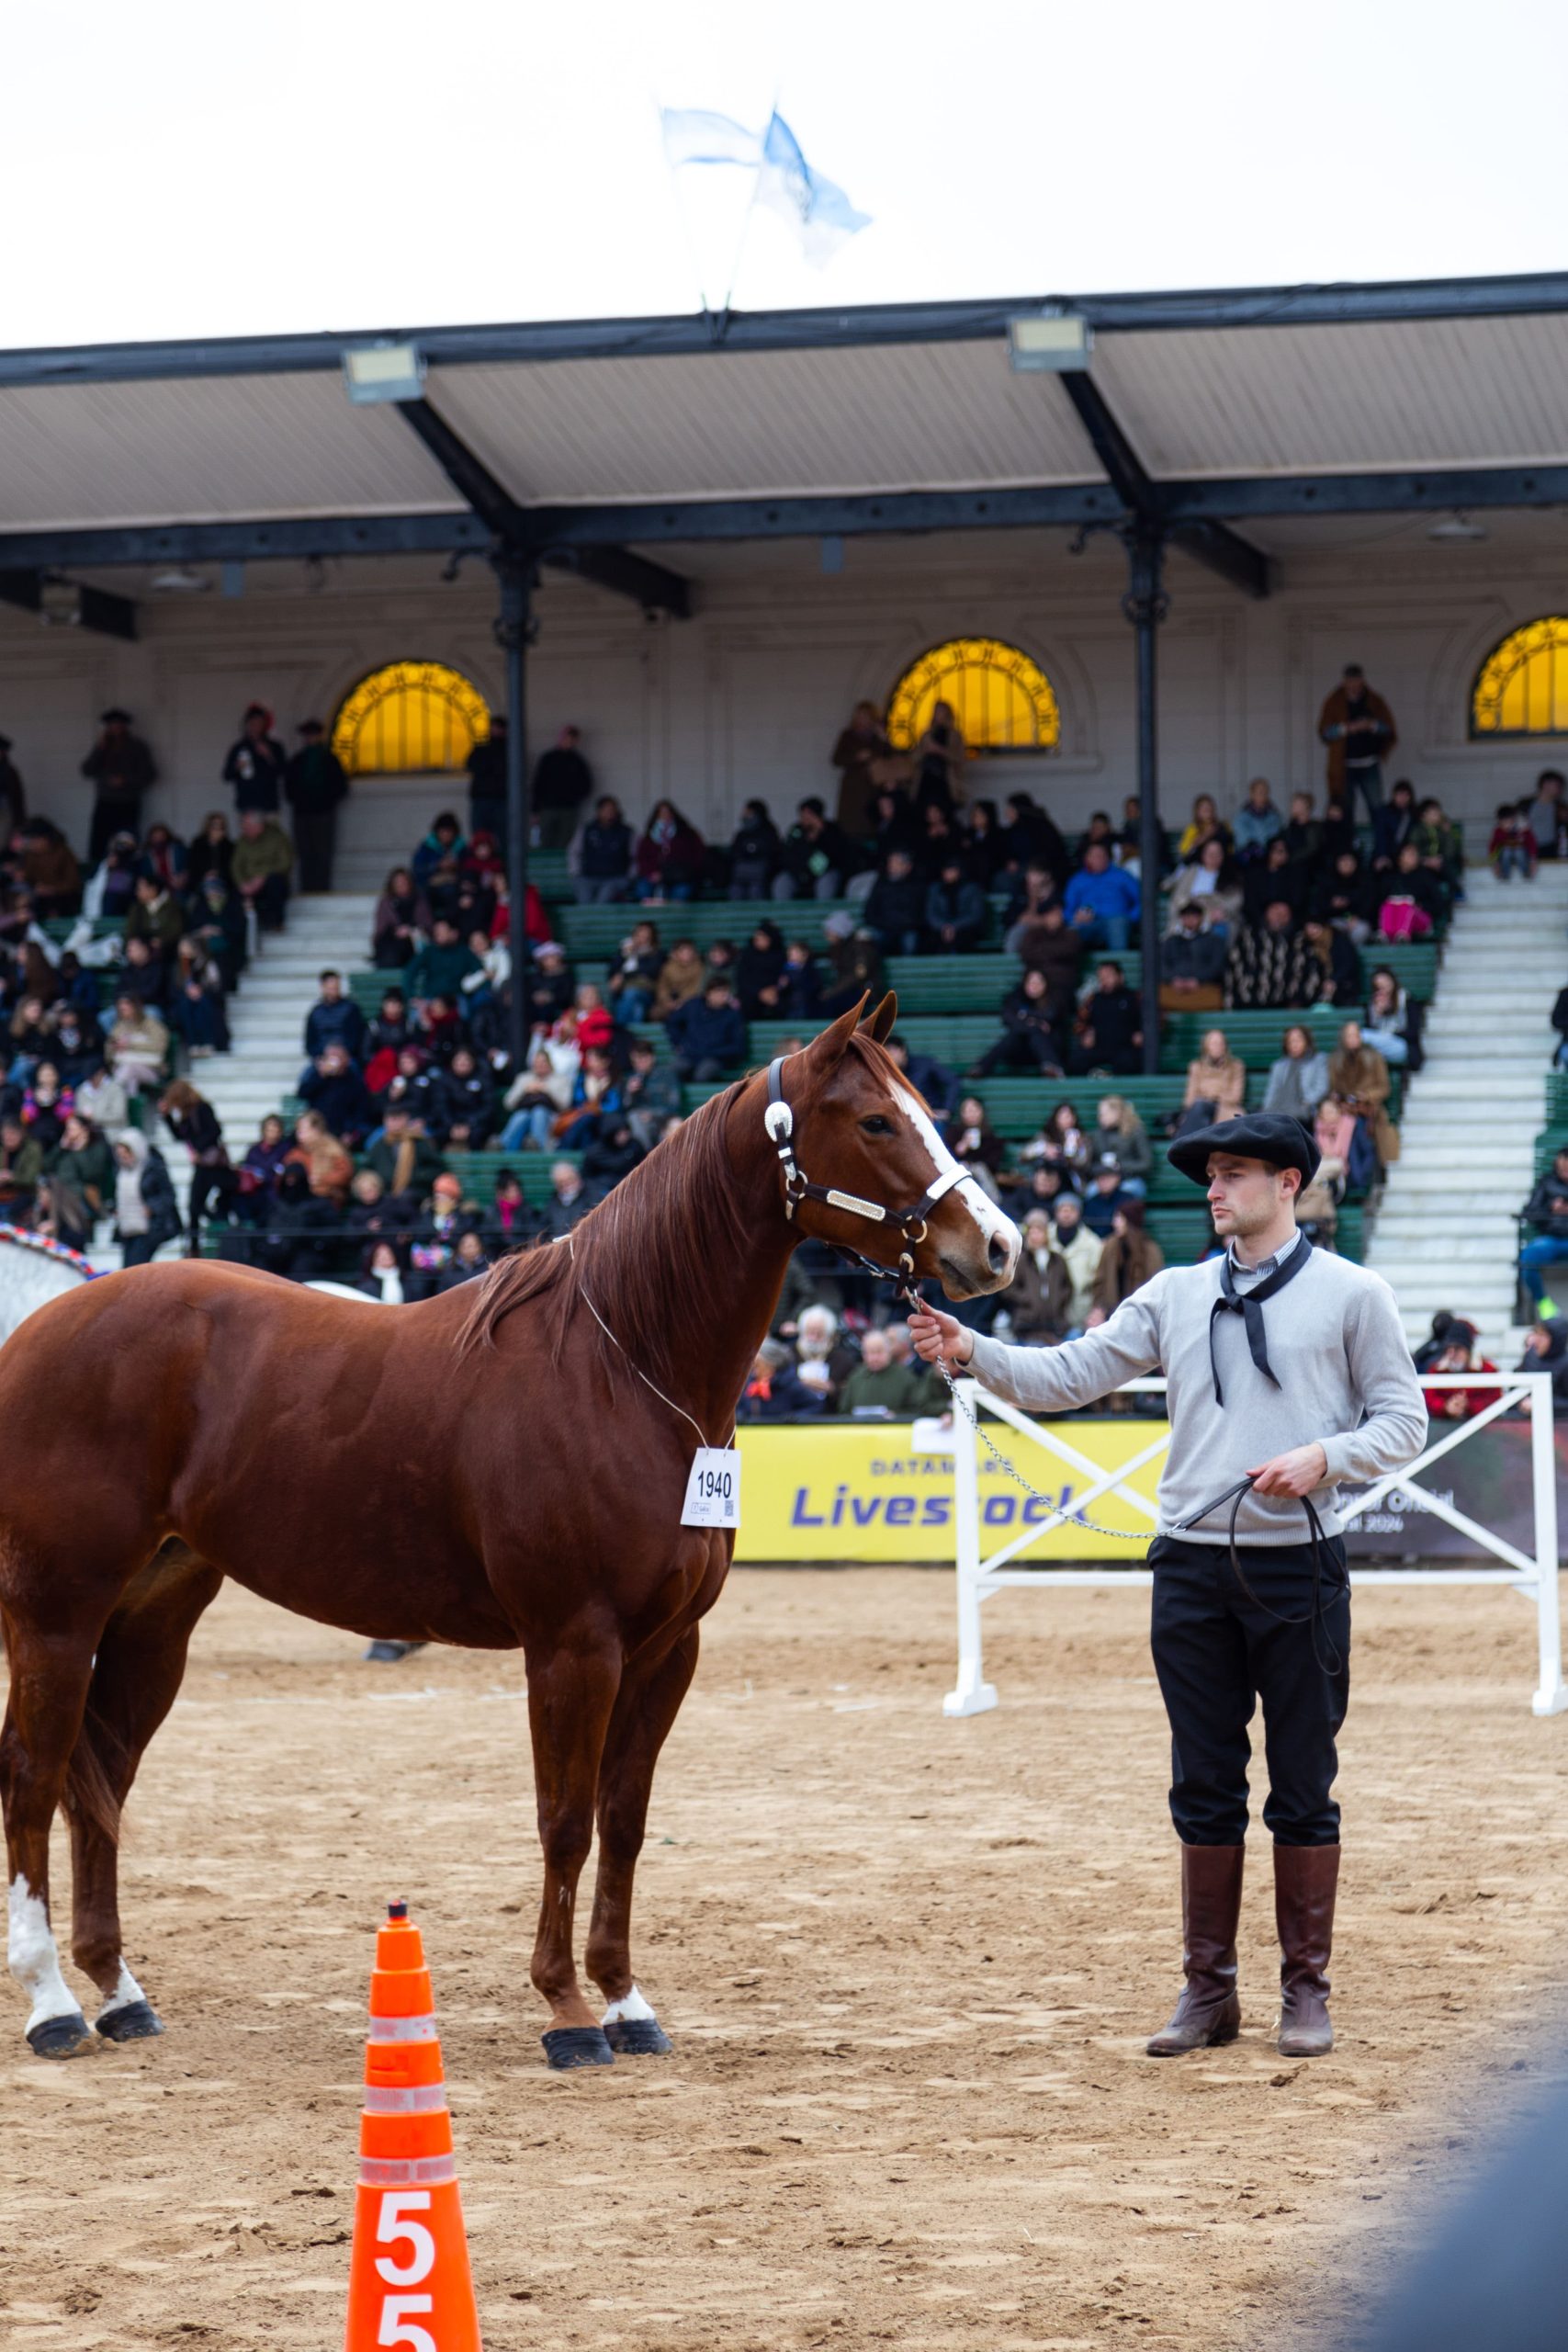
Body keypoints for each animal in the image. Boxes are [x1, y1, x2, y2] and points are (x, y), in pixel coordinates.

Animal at [0, 996, 1019, 2068]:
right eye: (875, 1123)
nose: (997, 1247)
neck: (622, 1366)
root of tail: (37, 1328)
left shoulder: (667, 1649)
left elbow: (624, 1820)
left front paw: (625, 2001)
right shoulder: (573, 1643)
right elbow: (564, 1820)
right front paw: (567, 2011)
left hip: (153, 1619)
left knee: (101, 1775)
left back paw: (119, 1993)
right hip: (56, 1611)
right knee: (32, 1774)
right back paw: (51, 2003)